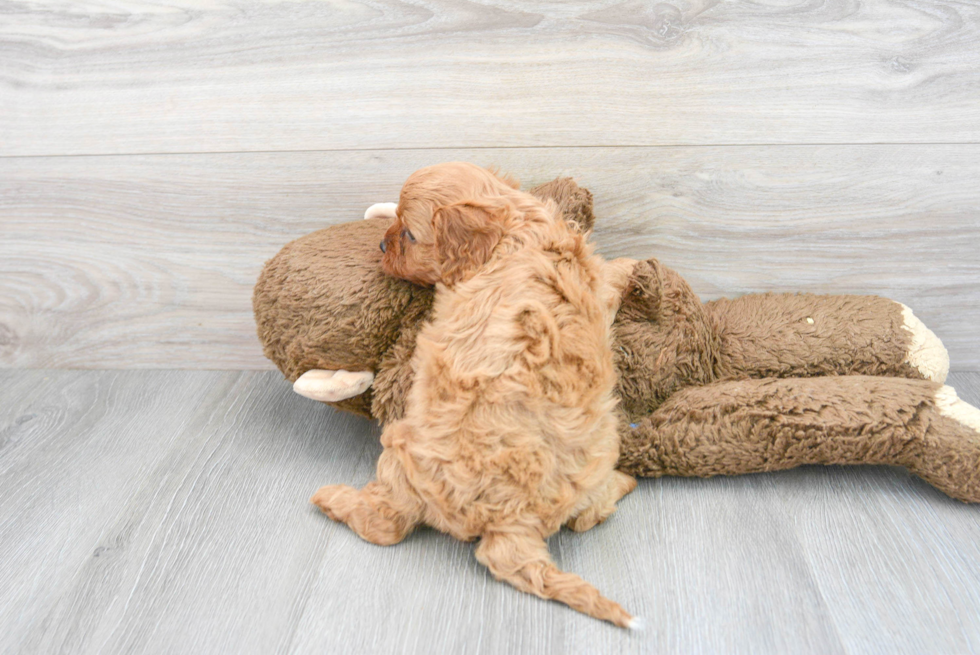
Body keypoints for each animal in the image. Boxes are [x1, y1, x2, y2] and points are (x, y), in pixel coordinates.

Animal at [310, 161, 640, 628]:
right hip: (599, 454)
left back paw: (333, 501)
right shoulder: (590, 282)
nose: (381, 243)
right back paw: (623, 482)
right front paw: (632, 267)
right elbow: (606, 279)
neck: (513, 227)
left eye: (409, 234)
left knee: (386, 524)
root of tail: (512, 522)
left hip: (401, 456)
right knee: (588, 516)